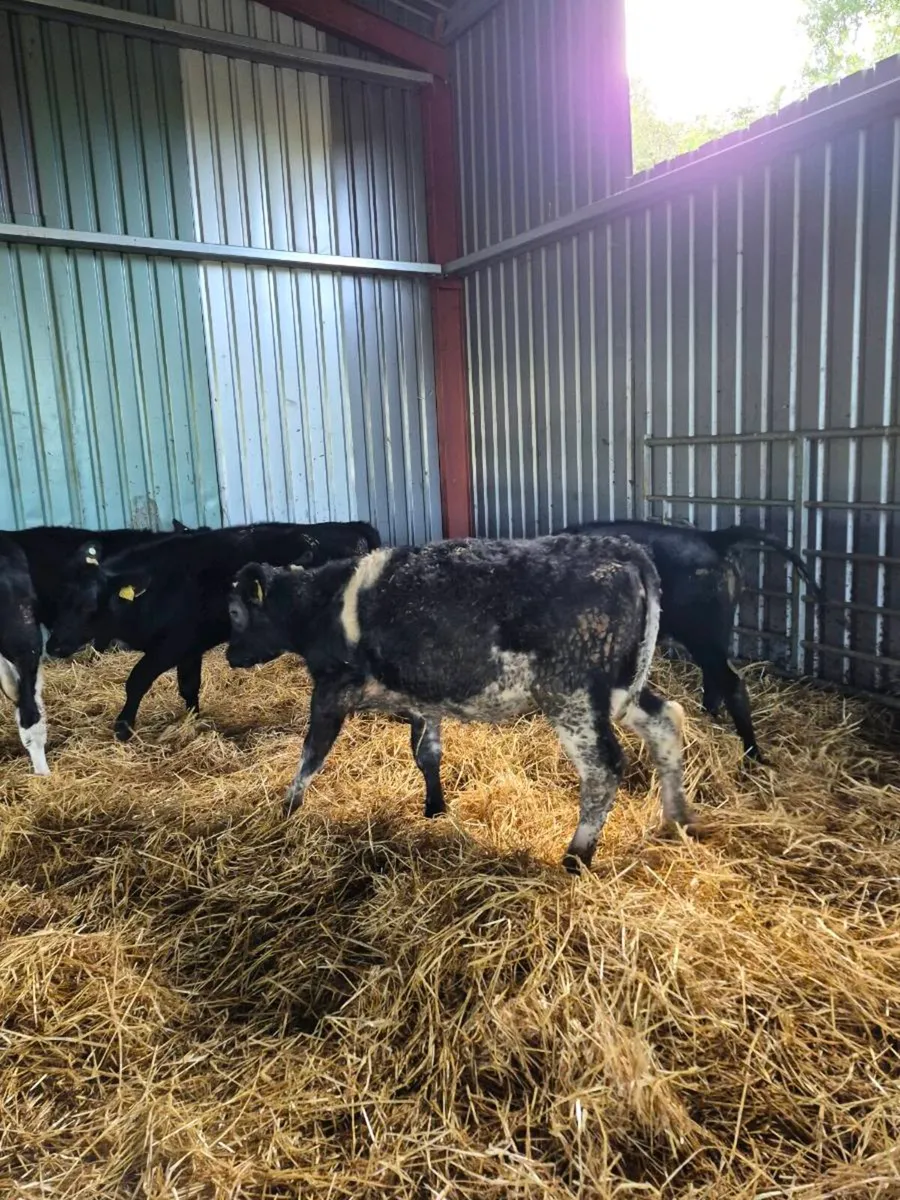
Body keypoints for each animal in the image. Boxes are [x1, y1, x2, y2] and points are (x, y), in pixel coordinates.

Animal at [46, 521, 382, 741]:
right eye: (60, 599)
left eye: (89, 605)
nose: (53, 645)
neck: (160, 585)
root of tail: (353, 528)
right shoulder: (189, 647)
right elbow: (188, 685)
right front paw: (193, 720)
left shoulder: (171, 645)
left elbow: (136, 680)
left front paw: (123, 728)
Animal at [225, 534, 695, 873]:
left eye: (232, 613)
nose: (229, 655)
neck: (322, 603)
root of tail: (622, 548)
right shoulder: (423, 696)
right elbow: (427, 753)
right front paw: (435, 808)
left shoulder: (330, 689)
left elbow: (310, 756)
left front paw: (286, 810)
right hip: (618, 691)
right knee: (666, 720)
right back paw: (678, 822)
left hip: (573, 696)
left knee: (604, 768)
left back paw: (576, 857)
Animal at [562, 519, 821, 761]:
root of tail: (712, 538)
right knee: (714, 679)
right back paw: (709, 719)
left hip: (703, 630)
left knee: (732, 682)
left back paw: (752, 756)